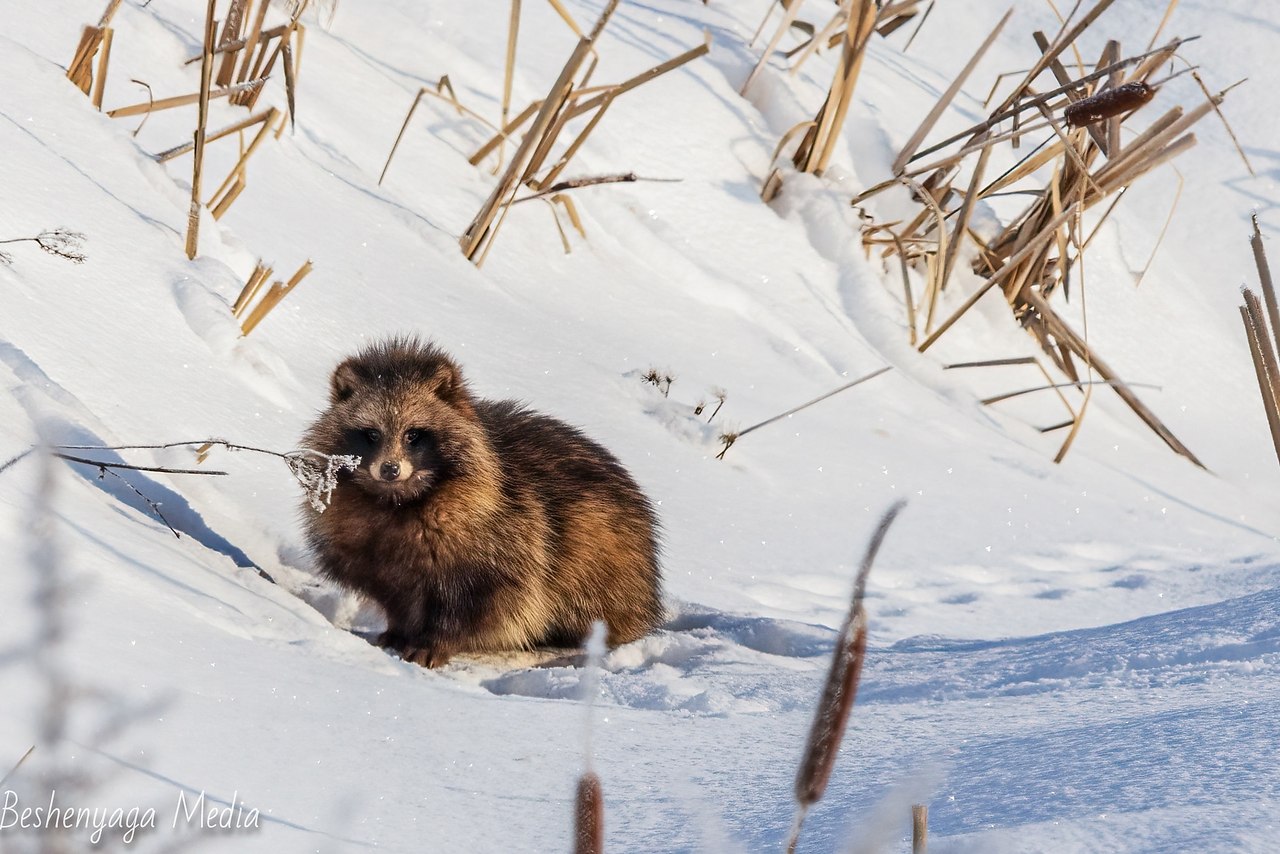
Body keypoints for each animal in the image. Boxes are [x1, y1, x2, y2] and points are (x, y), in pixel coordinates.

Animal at [299, 338, 660, 665]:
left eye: (413, 434)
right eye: (371, 434)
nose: (390, 469)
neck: (399, 502)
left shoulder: (506, 534)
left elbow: (483, 602)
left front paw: (435, 642)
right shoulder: (368, 547)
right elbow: (395, 592)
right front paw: (399, 631)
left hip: (603, 551)